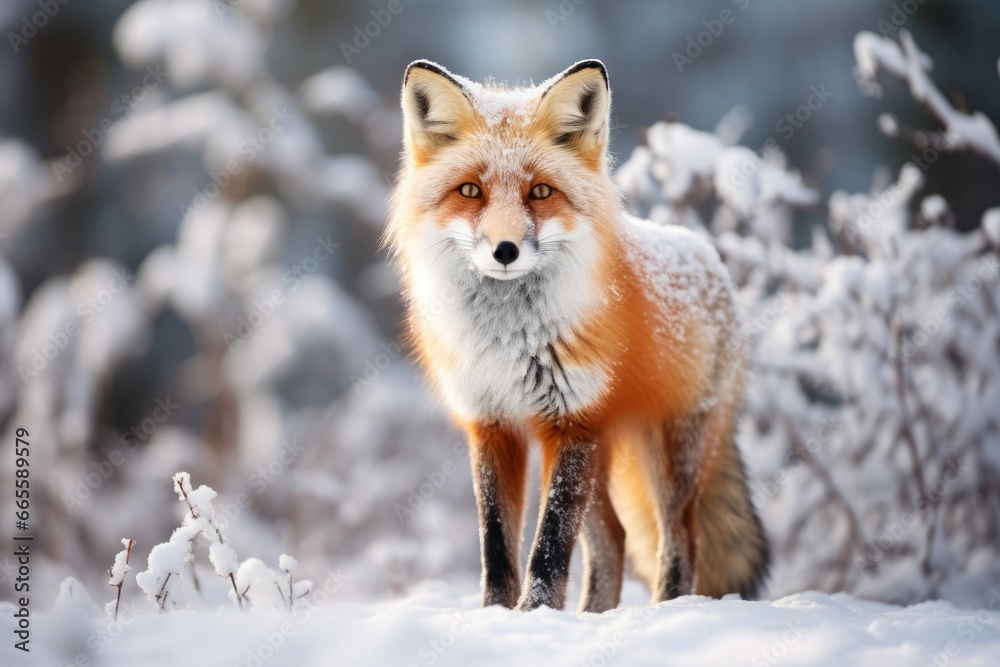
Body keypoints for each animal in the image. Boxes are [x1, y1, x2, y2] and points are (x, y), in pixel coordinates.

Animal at [385, 59, 768, 612]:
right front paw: (496, 615)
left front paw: (535, 614)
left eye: (541, 192)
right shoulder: (492, 424)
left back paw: (667, 611)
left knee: (680, 541)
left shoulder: (571, 422)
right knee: (613, 540)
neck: (508, 342)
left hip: (669, 453)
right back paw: (593, 617)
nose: (505, 250)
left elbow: (549, 544)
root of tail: (709, 257)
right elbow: (496, 544)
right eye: (471, 191)